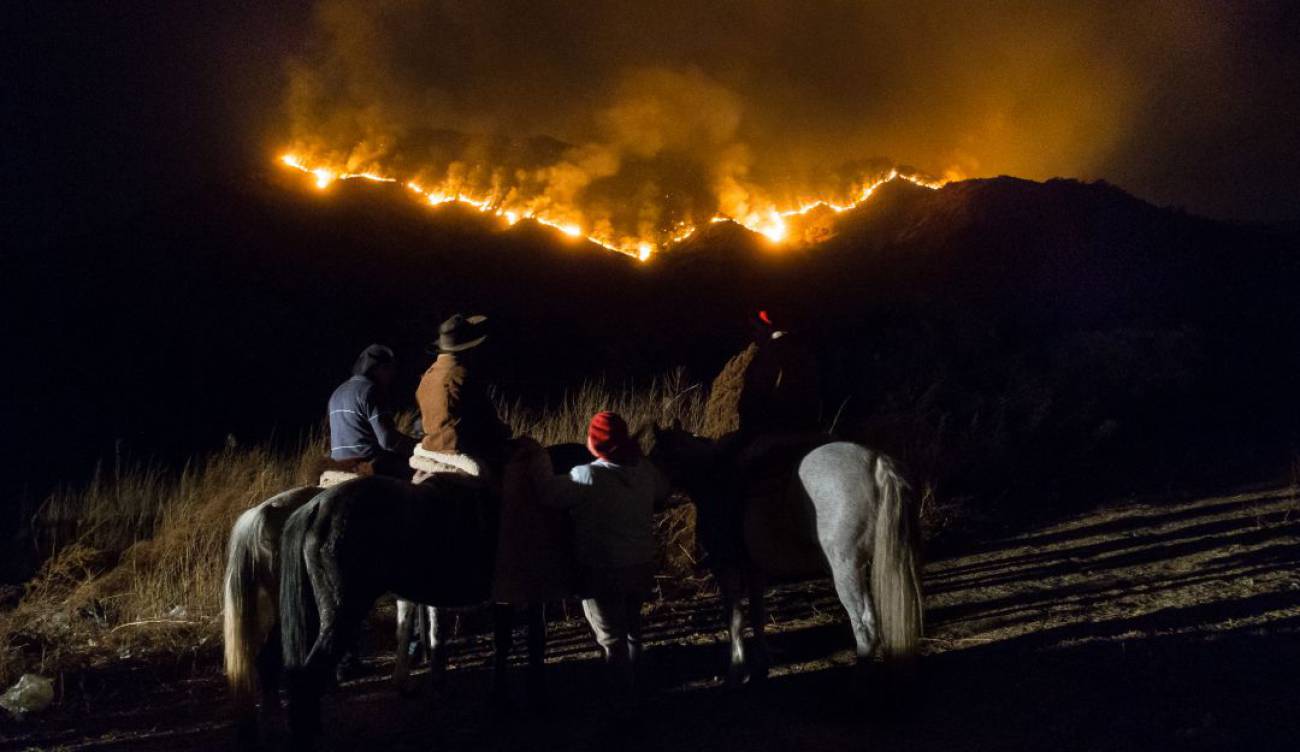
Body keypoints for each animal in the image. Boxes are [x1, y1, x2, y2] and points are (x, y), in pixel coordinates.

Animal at [650, 426, 925, 676]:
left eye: (654, 458)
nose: (654, 505)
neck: (714, 478)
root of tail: (878, 464)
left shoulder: (726, 567)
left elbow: (735, 619)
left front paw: (737, 668)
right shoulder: (754, 571)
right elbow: (757, 616)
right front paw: (761, 664)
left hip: (845, 569)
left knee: (864, 628)